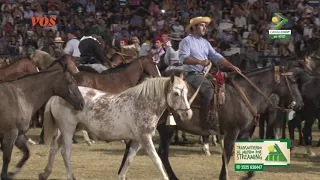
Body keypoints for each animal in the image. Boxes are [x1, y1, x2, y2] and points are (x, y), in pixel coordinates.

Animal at [38, 75, 191, 180]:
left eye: (186, 92)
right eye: (176, 93)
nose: (188, 114)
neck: (143, 104)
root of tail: (57, 96)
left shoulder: (137, 140)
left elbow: (129, 160)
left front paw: (122, 176)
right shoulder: (145, 138)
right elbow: (157, 161)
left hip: (70, 129)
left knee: (54, 147)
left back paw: (45, 173)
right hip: (68, 130)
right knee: (65, 152)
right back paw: (70, 176)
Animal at [119, 65, 304, 180]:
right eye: (292, 82)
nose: (300, 104)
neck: (244, 94)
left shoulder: (244, 132)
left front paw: (248, 175)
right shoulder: (231, 132)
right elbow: (226, 155)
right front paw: (223, 176)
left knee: (141, 149)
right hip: (162, 128)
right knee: (158, 152)